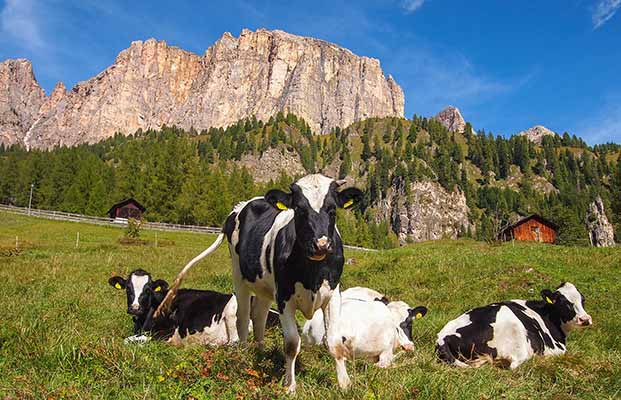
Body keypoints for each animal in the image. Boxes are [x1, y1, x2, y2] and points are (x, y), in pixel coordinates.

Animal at [109, 270, 278, 346]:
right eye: (128, 289)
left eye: (148, 289)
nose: (135, 308)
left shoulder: (166, 333)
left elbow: (128, 340)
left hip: (233, 310)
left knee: (235, 343)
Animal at [155, 173, 366, 392]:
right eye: (299, 209)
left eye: (332, 210)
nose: (321, 245)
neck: (312, 274)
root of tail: (241, 206)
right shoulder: (284, 298)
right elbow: (291, 343)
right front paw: (290, 385)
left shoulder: (333, 295)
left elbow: (334, 342)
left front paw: (344, 384)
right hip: (239, 276)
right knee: (242, 318)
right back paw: (243, 355)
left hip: (265, 288)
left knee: (258, 316)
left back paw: (260, 352)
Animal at [436, 282, 592, 368]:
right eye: (564, 303)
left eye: (583, 300)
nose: (585, 319)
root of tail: (443, 338)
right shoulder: (556, 349)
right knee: (515, 364)